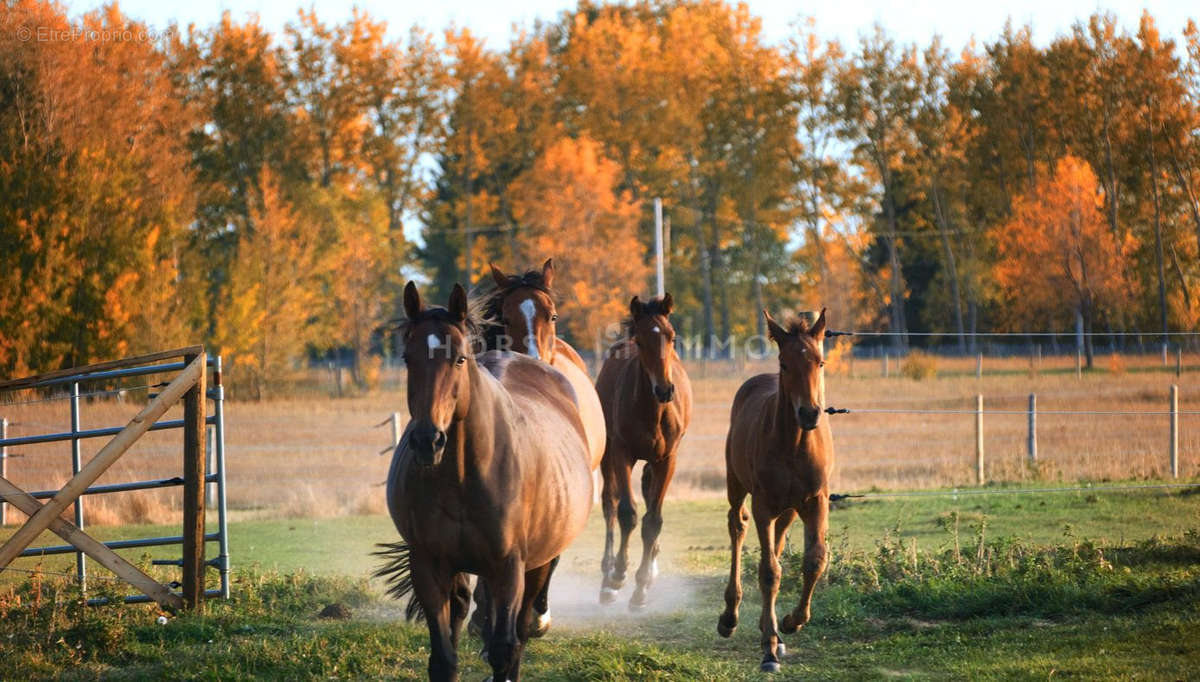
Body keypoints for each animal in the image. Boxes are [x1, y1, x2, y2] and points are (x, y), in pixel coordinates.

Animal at [376, 282, 592, 682]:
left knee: (519, 631)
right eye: (407, 358)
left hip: (534, 565)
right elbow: (444, 659)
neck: (464, 476)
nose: (428, 440)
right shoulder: (428, 566)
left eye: (459, 359)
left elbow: (505, 649)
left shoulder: (508, 568)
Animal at [592, 292, 691, 607]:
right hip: (609, 456)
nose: (665, 390)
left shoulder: (667, 459)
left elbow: (653, 520)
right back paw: (607, 579)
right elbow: (627, 513)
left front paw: (642, 585)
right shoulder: (622, 453)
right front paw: (619, 575)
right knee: (609, 503)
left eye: (672, 337)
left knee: (647, 493)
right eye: (641, 341)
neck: (652, 411)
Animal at [710, 309, 835, 672]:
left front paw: (792, 622)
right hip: (737, 485)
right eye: (784, 363)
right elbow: (768, 572)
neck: (795, 444)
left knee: (777, 542)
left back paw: (775, 628)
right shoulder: (763, 504)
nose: (809, 413)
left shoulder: (816, 501)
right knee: (737, 526)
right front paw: (768, 649)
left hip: (790, 508)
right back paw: (731, 617)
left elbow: (814, 560)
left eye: (820, 361)